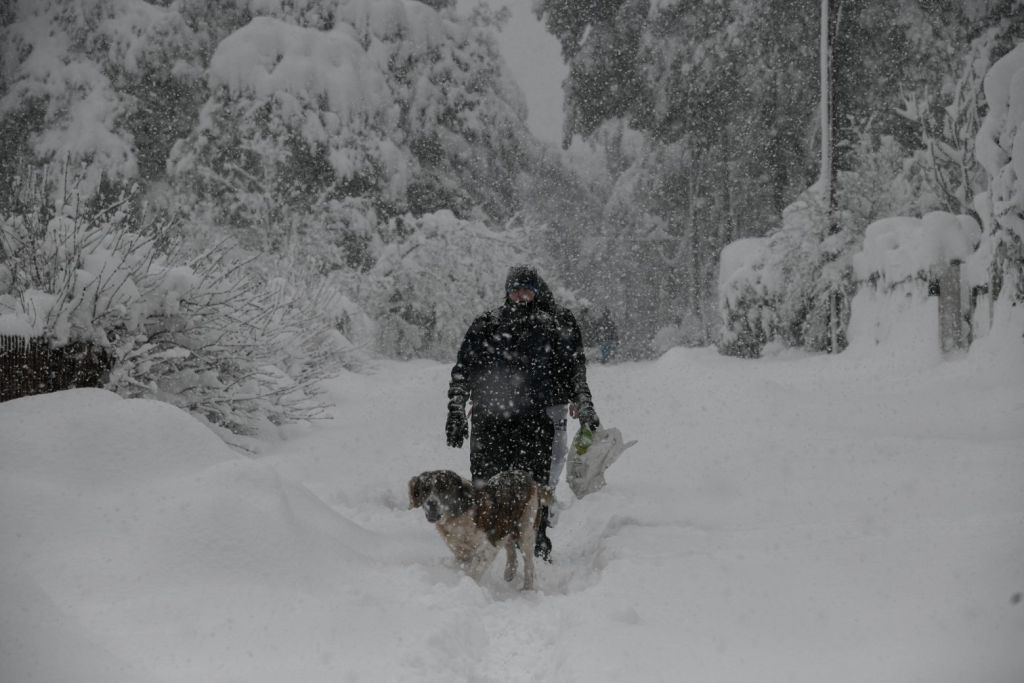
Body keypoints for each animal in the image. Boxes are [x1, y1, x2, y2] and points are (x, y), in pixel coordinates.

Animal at [407, 471, 557, 589]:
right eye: (425, 489)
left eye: (444, 488)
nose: (431, 503)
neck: (458, 516)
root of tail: (528, 478)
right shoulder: (461, 551)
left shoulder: (488, 547)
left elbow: (474, 571)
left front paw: (467, 585)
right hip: (505, 526)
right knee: (511, 549)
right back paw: (509, 572)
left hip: (526, 530)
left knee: (529, 563)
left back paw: (527, 589)